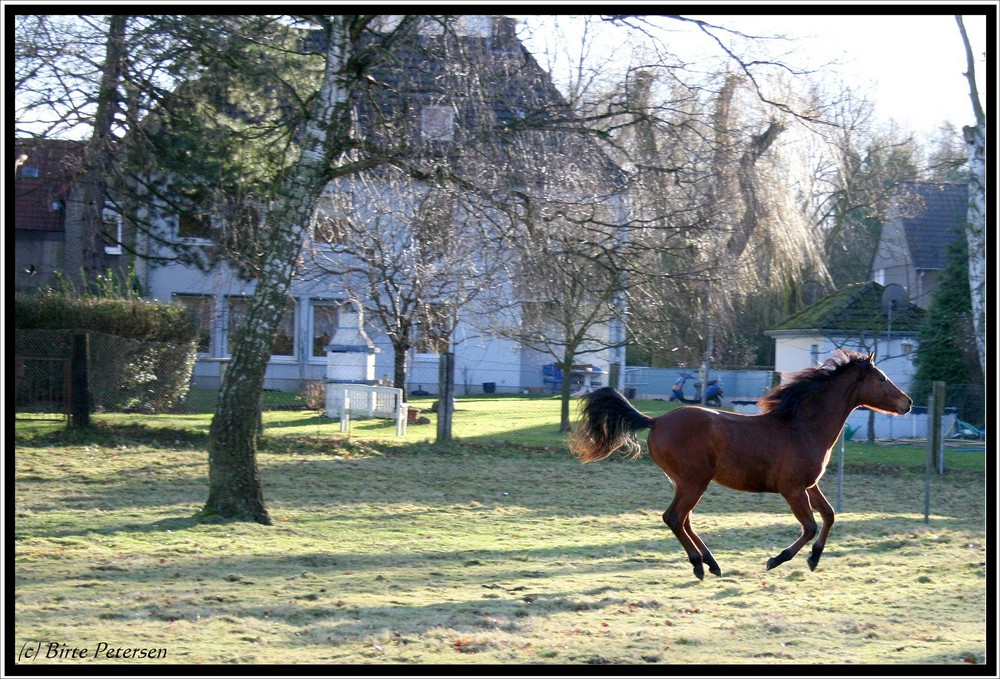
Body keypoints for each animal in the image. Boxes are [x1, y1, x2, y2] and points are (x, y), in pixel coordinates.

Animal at [568, 350, 912, 580]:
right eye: (882, 378)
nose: (907, 403)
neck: (801, 426)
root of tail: (656, 421)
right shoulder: (792, 489)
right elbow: (810, 525)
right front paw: (776, 559)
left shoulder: (809, 485)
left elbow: (829, 515)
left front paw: (814, 559)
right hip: (694, 481)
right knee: (674, 517)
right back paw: (700, 565)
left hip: (685, 482)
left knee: (683, 519)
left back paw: (711, 563)